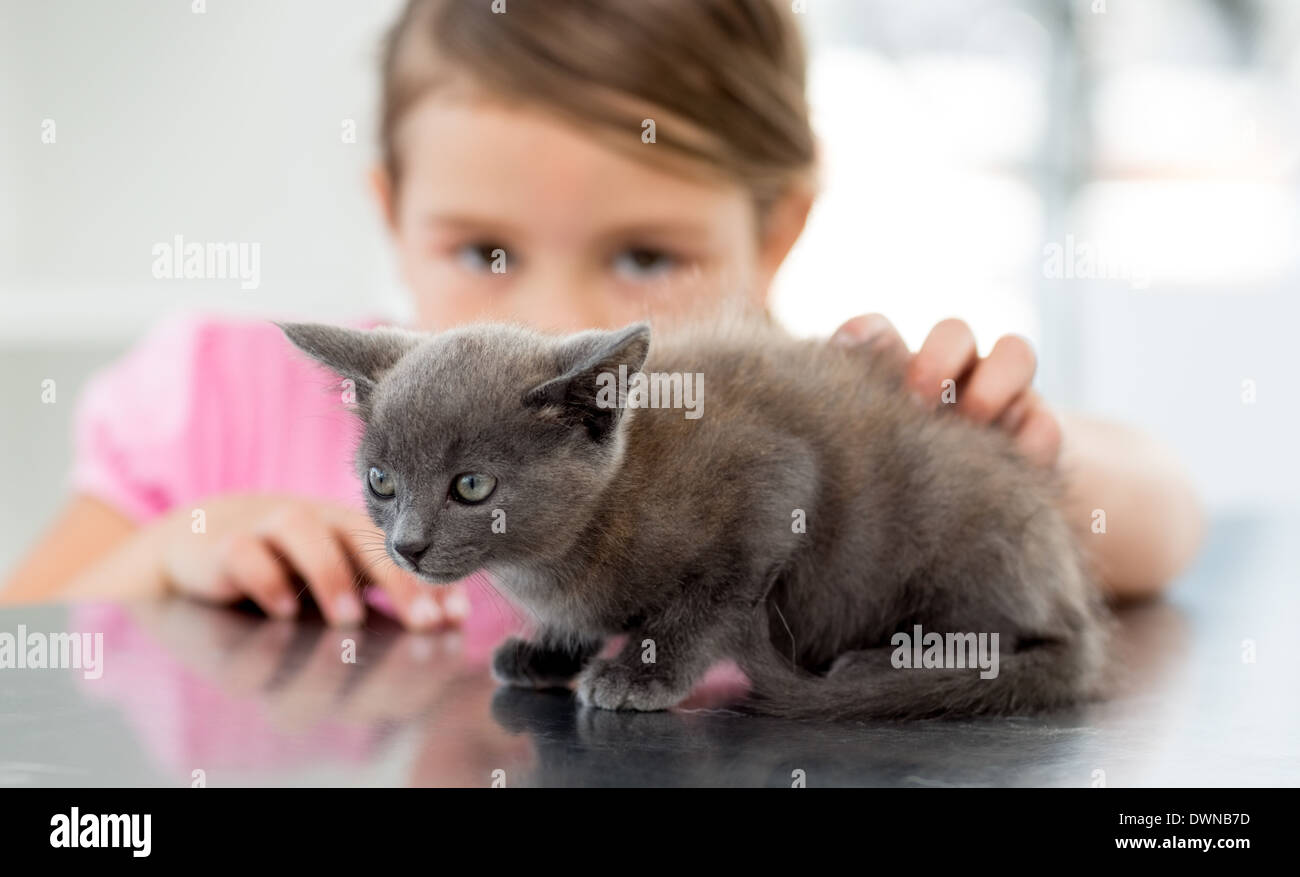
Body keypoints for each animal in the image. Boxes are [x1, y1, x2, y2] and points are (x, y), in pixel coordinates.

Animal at [282, 317, 1107, 722]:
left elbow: (707, 605)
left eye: (472, 485)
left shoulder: (774, 488)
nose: (408, 545)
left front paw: (637, 673)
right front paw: (550, 648)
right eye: (381, 481)